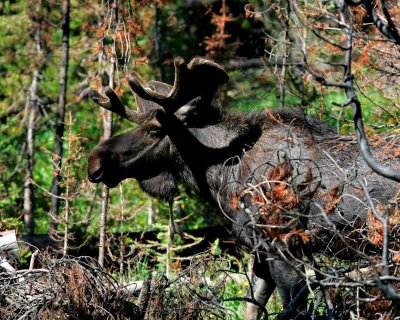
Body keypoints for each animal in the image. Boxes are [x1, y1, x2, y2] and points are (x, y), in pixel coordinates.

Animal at [88, 56, 400, 318]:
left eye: (154, 130)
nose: (94, 161)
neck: (221, 176)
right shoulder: (259, 252)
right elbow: (252, 308)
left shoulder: (285, 246)